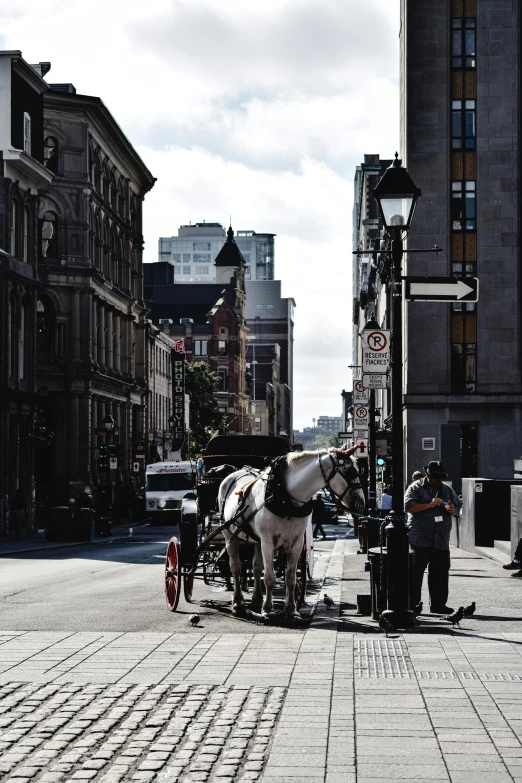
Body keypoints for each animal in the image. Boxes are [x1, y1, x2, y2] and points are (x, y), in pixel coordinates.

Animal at [217, 448, 364, 620]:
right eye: (349, 470)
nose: (361, 503)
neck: (285, 497)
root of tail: (234, 473)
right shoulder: (267, 540)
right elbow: (270, 576)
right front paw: (268, 609)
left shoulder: (297, 542)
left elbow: (291, 578)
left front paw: (291, 609)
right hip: (229, 535)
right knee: (236, 567)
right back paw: (238, 603)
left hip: (256, 540)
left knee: (256, 567)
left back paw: (256, 601)